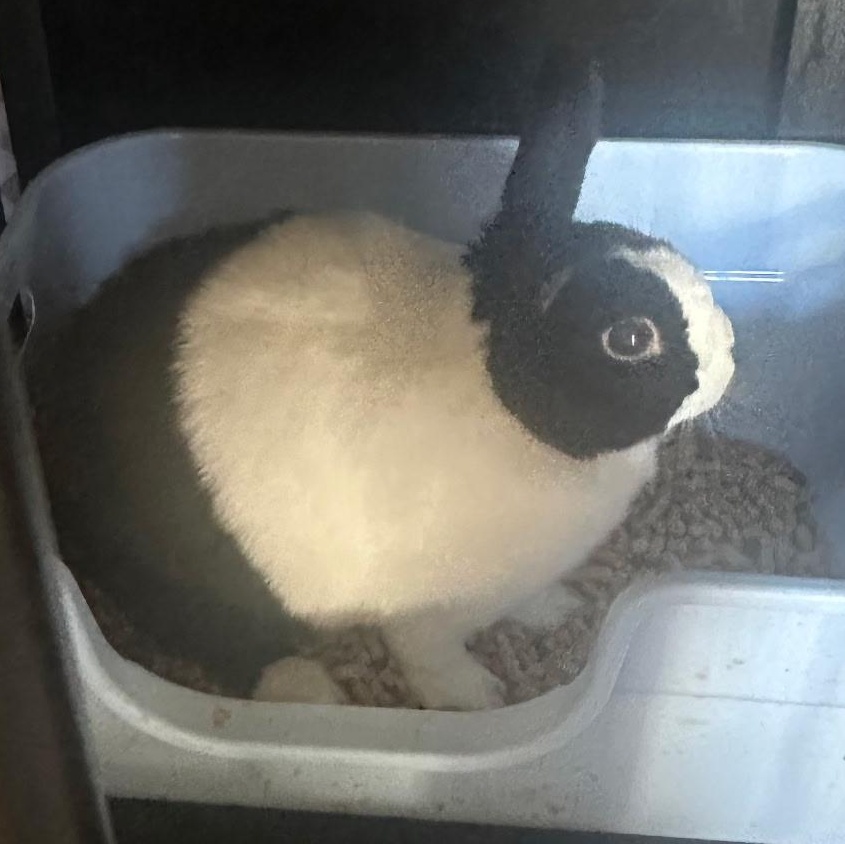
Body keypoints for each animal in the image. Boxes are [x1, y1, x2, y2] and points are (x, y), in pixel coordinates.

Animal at [28, 54, 735, 710]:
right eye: (631, 338)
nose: (729, 355)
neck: (500, 394)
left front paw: (554, 608)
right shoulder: (425, 615)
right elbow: (429, 656)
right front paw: (475, 696)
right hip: (181, 569)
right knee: (204, 629)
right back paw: (307, 690)